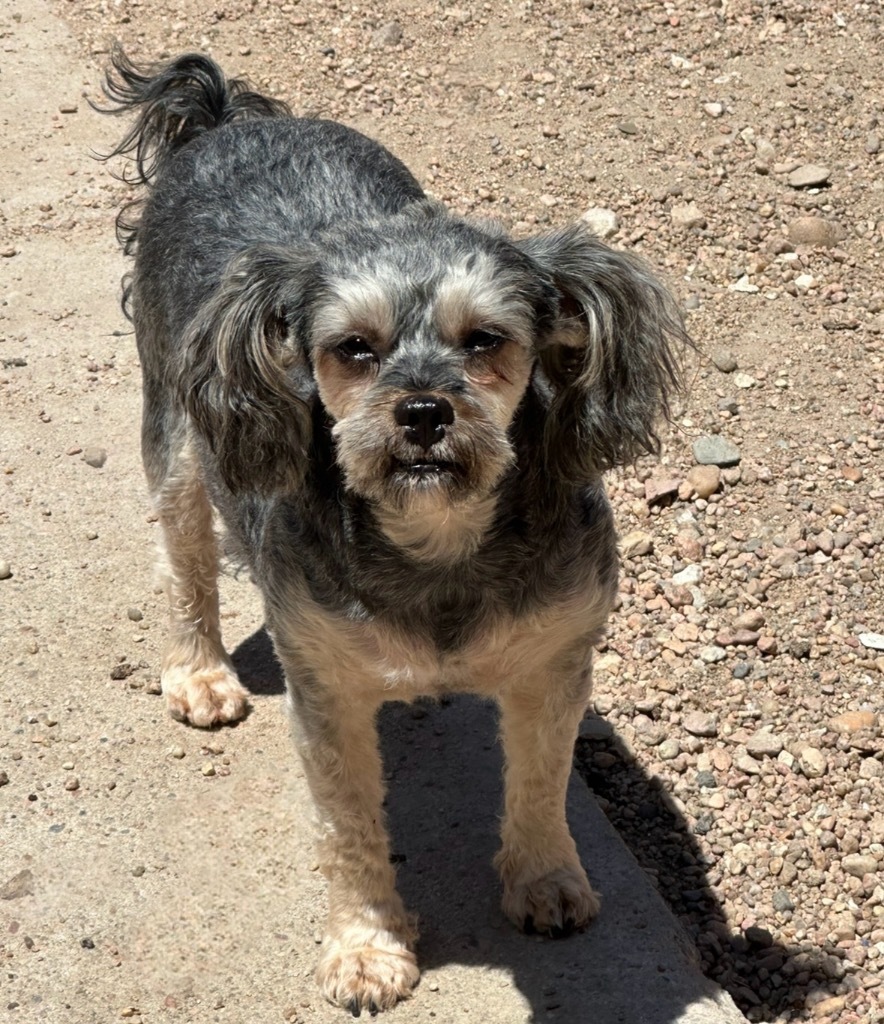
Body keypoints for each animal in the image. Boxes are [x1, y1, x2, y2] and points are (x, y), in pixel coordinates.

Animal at [100, 49, 688, 1015]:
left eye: (485, 340)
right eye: (354, 349)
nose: (421, 411)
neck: (438, 544)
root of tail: (224, 118)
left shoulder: (556, 658)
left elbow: (540, 779)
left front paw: (545, 880)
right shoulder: (325, 689)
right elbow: (347, 831)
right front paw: (367, 949)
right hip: (179, 435)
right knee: (183, 558)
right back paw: (199, 672)